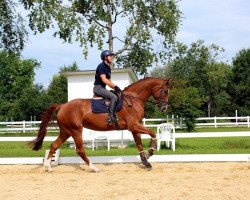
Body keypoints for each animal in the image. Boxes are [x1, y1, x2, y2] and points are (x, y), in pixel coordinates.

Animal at [28, 76, 170, 172]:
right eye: (165, 91)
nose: (164, 108)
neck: (133, 100)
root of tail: (62, 106)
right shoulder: (133, 125)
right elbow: (152, 132)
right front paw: (151, 151)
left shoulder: (135, 128)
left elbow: (139, 145)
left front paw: (146, 162)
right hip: (75, 131)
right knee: (79, 150)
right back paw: (93, 168)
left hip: (66, 132)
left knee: (54, 146)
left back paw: (48, 167)